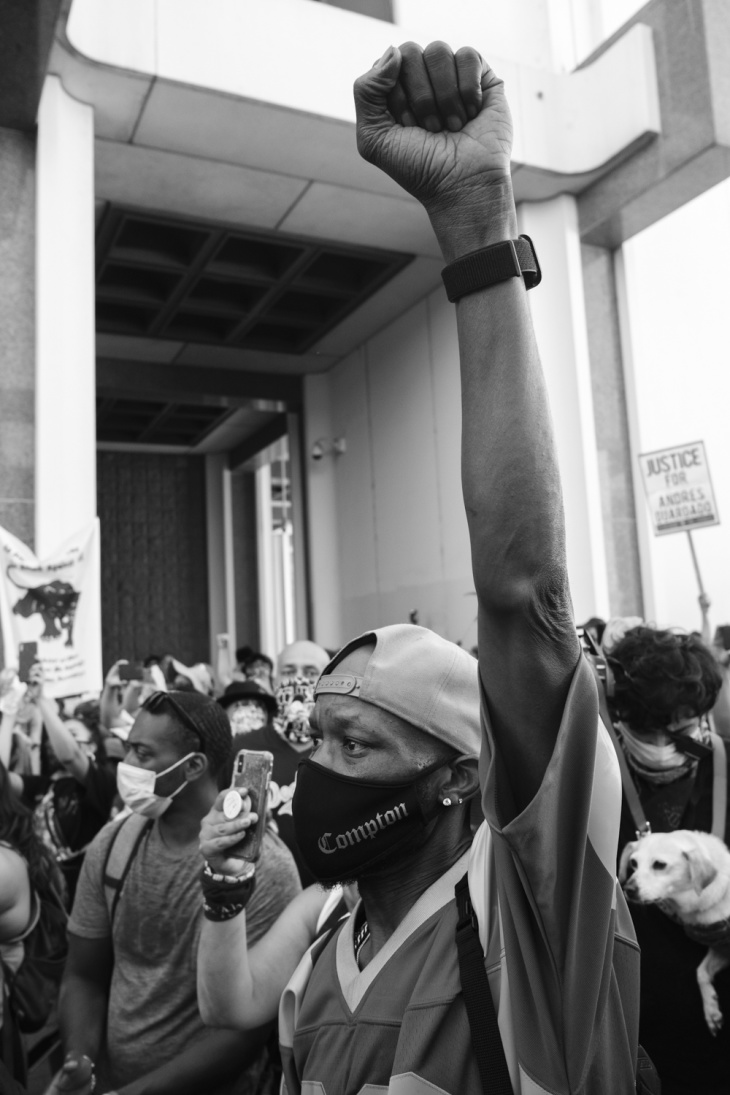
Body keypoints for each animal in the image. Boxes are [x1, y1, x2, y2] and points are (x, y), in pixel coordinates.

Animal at [621, 827, 730, 1033]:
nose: (627, 889)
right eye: (633, 863)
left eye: (659, 865)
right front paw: (710, 1008)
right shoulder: (720, 948)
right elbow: (701, 972)